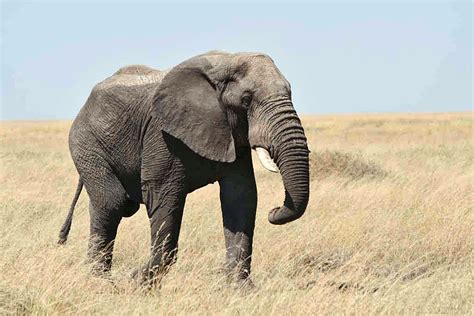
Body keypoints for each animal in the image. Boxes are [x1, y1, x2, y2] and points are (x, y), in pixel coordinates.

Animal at [58, 50, 312, 286]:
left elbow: (241, 197)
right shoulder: (162, 134)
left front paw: (241, 289)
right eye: (246, 100)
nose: (274, 211)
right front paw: (139, 282)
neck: (225, 62)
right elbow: (164, 196)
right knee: (112, 202)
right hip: (86, 142)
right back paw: (99, 280)